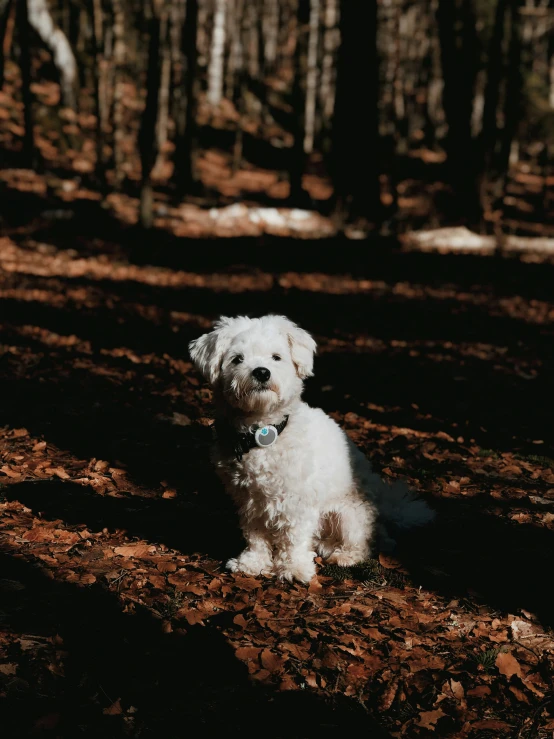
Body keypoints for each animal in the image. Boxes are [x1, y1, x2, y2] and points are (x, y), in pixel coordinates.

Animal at [188, 316, 434, 584]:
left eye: (276, 357)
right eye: (237, 359)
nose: (261, 372)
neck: (263, 432)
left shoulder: (298, 499)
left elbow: (293, 536)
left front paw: (293, 567)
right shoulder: (249, 499)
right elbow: (255, 534)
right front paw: (252, 563)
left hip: (348, 515)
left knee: (366, 543)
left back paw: (344, 556)